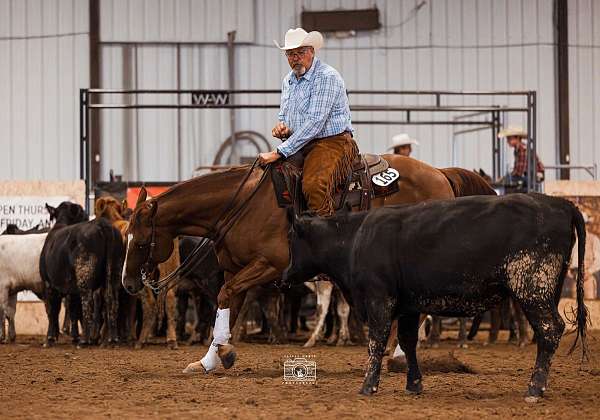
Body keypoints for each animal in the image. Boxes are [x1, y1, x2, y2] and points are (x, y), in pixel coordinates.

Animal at [40, 203, 124, 344]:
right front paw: (73, 336)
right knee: (112, 300)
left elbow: (53, 309)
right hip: (115, 272)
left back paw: (85, 340)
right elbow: (72, 309)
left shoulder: (48, 283)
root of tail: (103, 224)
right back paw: (113, 338)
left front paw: (50, 337)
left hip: (84, 273)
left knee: (87, 302)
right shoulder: (71, 288)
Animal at [122, 156, 476, 372]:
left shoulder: (269, 264)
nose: (128, 283)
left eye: (139, 242)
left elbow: (224, 298)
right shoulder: (235, 270)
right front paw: (210, 360)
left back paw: (396, 356)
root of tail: (441, 175)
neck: (242, 204)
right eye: (125, 236)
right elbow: (227, 306)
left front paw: (225, 353)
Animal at [284, 192, 588, 402]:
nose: (284, 276)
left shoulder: (379, 299)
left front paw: (368, 386)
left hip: (532, 286)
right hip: (545, 288)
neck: (355, 237)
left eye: (291, 240)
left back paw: (535, 388)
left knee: (550, 330)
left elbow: (376, 342)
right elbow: (407, 342)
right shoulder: (408, 305)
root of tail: (559, 204)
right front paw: (413, 385)